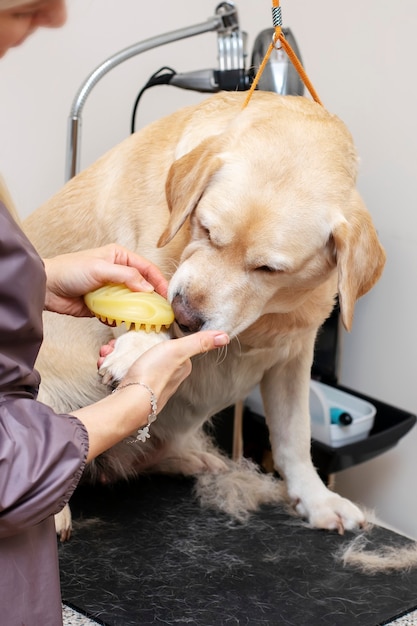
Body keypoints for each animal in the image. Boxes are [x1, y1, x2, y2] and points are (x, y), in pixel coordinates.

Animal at [24, 91, 386, 536]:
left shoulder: (294, 356)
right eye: (206, 228)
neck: (262, 320)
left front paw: (317, 499)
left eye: (269, 269)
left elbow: (295, 437)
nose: (185, 317)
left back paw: (189, 459)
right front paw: (140, 347)